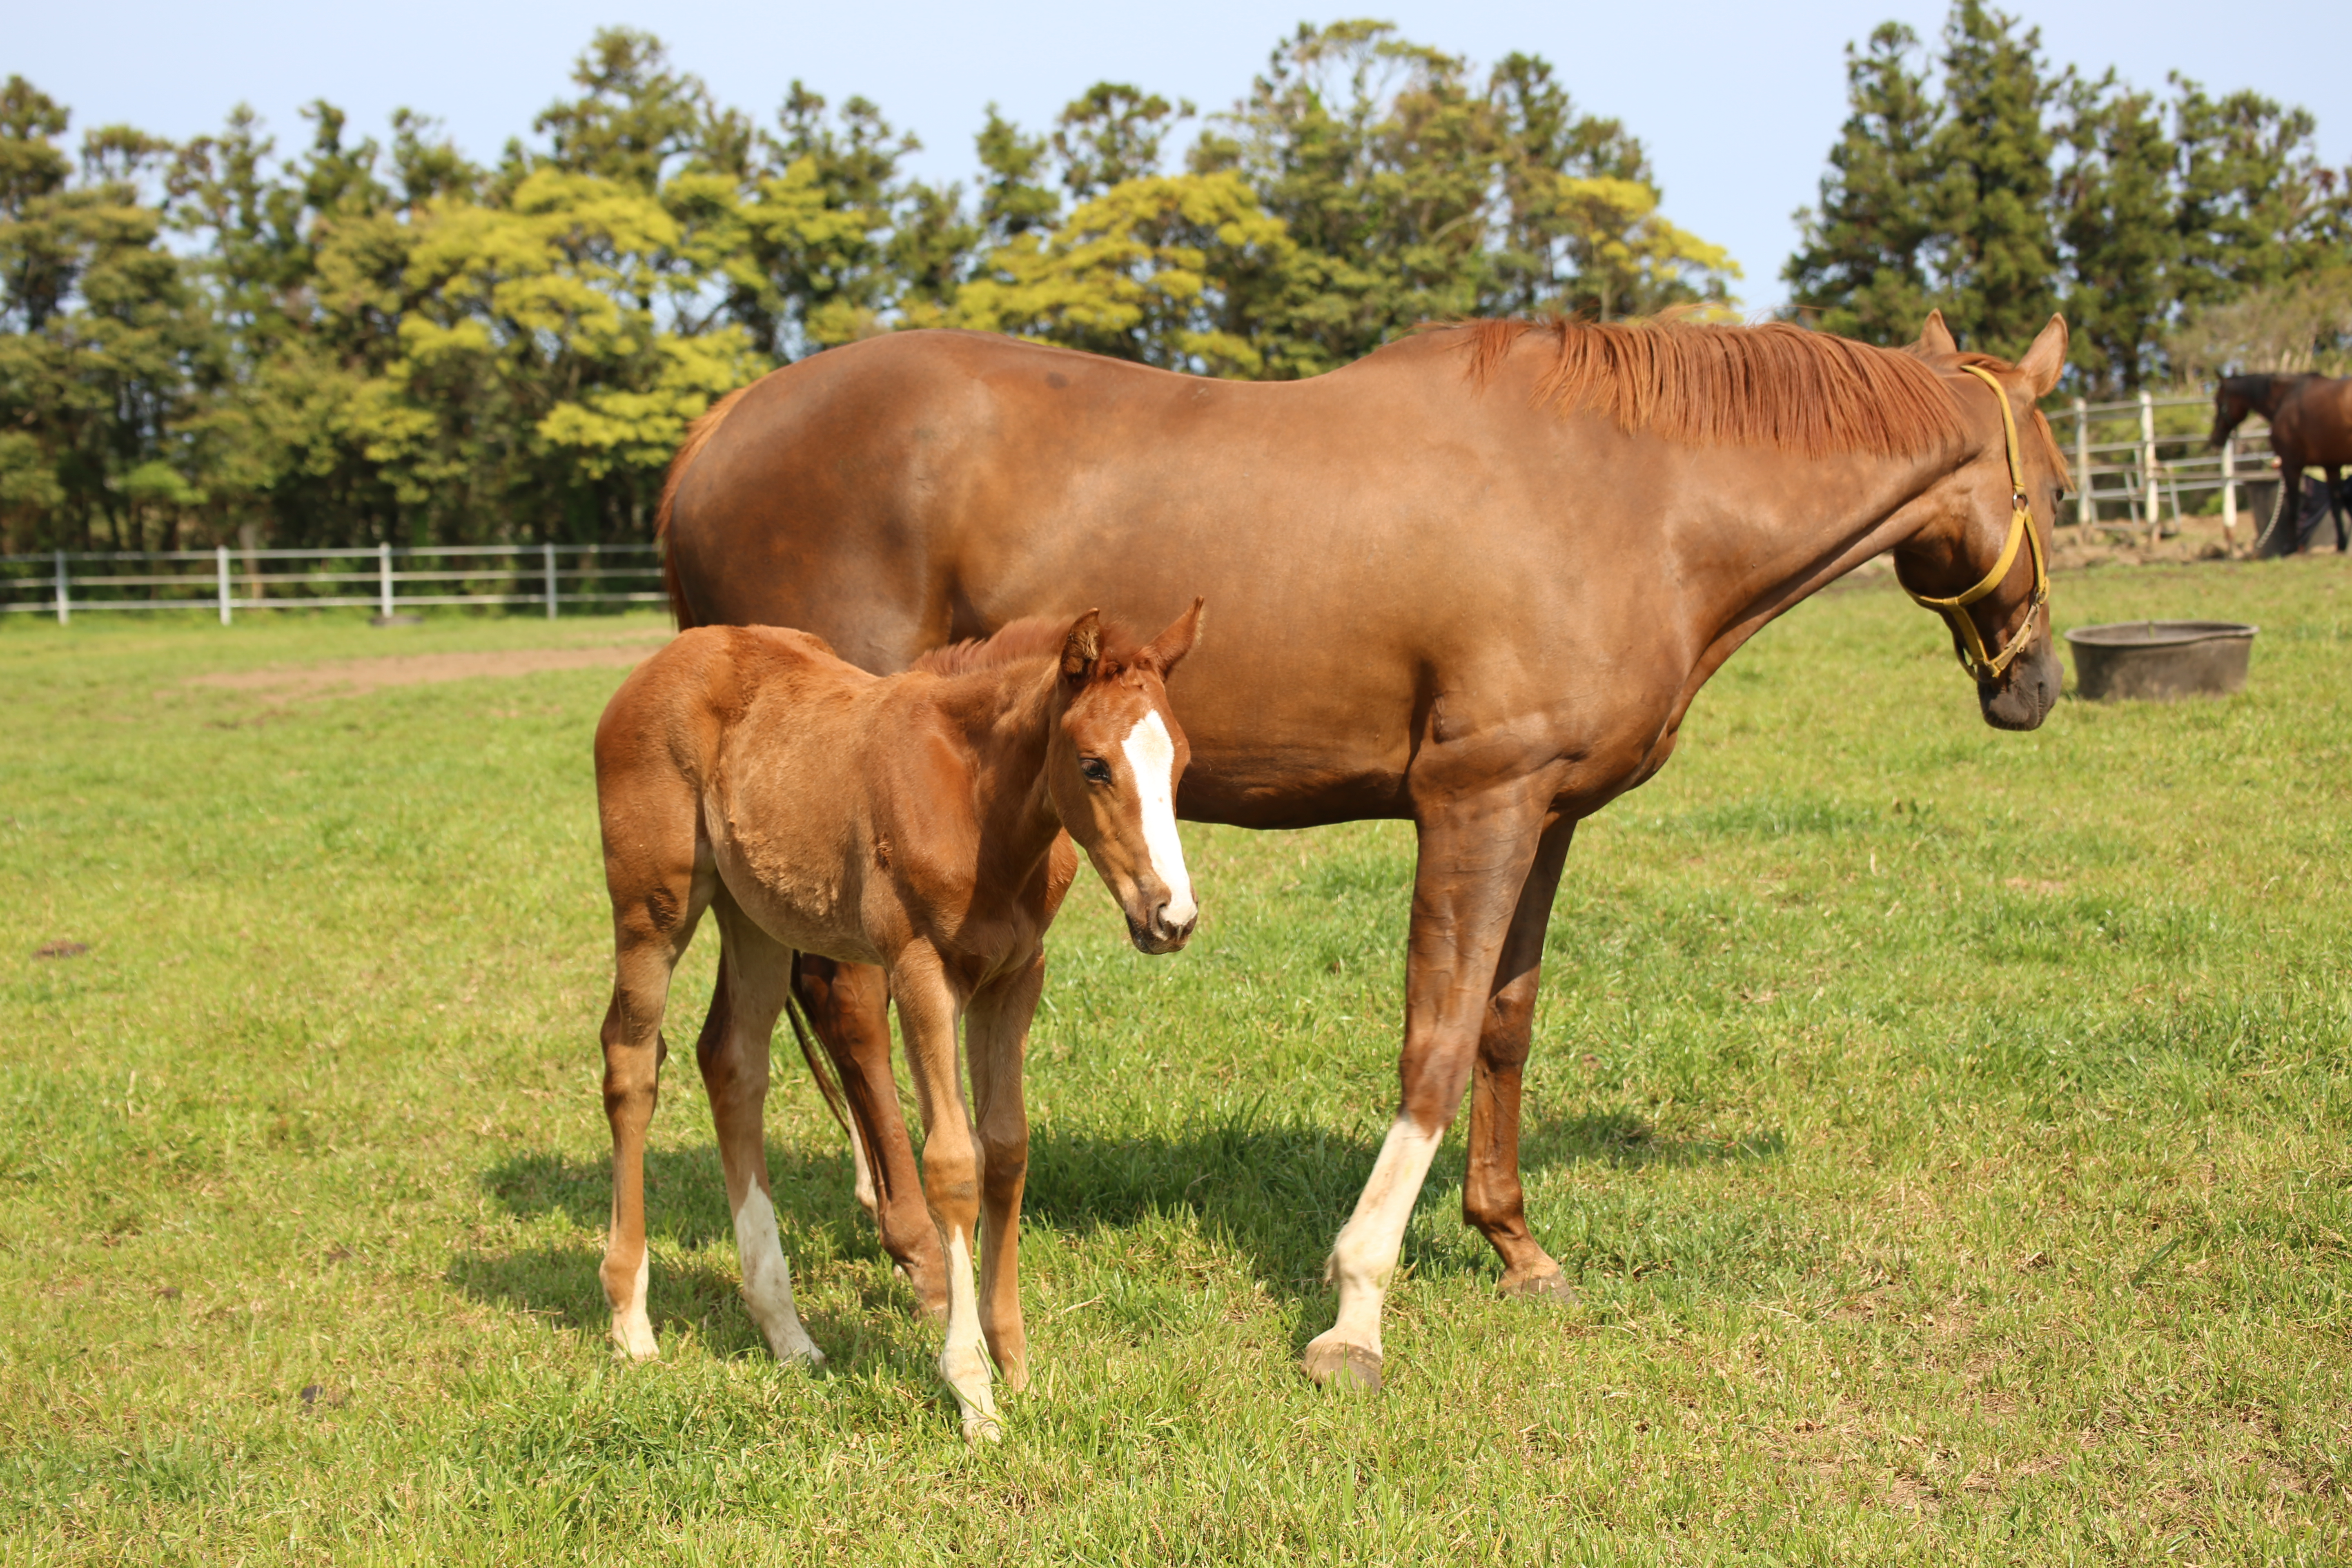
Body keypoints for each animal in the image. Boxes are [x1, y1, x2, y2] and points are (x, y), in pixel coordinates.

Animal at [597, 601, 1204, 1439]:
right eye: (1093, 766)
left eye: (1181, 765)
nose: (1170, 917)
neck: (979, 806)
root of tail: (660, 664)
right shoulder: (920, 970)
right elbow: (952, 1162)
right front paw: (973, 1391)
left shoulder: (1016, 977)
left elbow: (1007, 1150)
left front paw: (1014, 1363)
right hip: (652, 906)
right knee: (631, 1065)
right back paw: (632, 1322)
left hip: (754, 917)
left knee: (732, 1061)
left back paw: (788, 1335)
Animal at [654, 303, 2069, 1382]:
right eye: (2057, 487)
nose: (2037, 686)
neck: (1623, 495)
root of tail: (724, 428)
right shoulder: (1478, 798)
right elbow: (1434, 1038)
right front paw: (1358, 1305)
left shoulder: (1546, 811)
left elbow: (1503, 1022)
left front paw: (1515, 1244)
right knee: (841, 1001)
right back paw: (910, 1246)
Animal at [2201, 374, 2352, 552]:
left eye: (2218, 400)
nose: (2215, 438)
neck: (2284, 400)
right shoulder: (2331, 465)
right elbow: (2337, 505)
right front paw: (2341, 545)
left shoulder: (2290, 465)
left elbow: (2294, 506)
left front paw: (2291, 547)